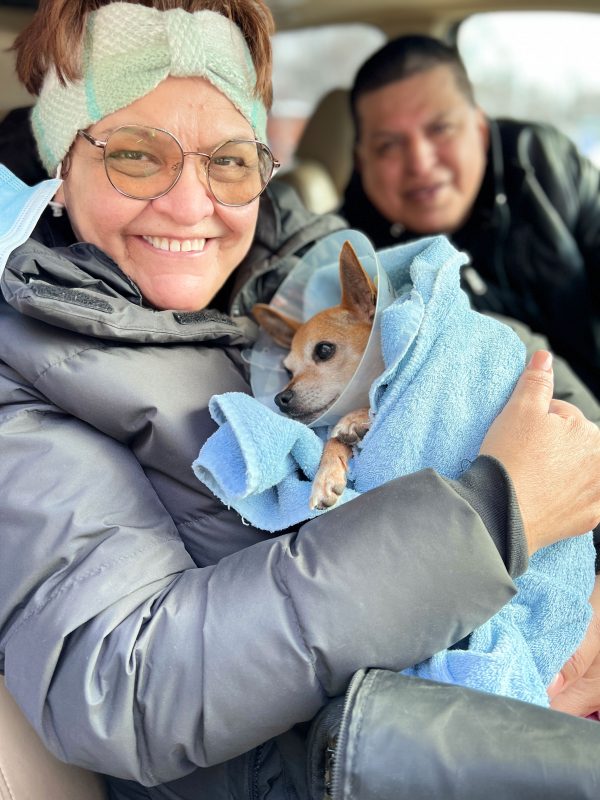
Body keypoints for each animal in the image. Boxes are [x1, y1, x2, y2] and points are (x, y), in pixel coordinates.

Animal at [253, 241, 380, 510]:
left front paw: (355, 418)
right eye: (288, 371)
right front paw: (326, 475)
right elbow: (333, 439)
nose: (280, 398)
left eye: (323, 350)